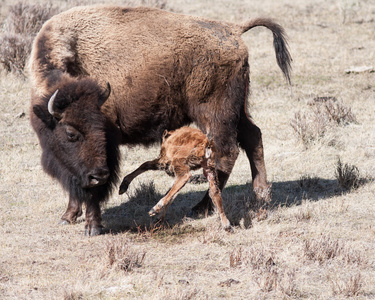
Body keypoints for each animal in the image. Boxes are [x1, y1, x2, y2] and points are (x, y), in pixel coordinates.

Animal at [30, 4, 294, 234]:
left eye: (101, 130)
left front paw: (92, 227)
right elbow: (75, 183)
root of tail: (233, 29)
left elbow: (94, 191)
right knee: (252, 137)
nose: (98, 175)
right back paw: (261, 196)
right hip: (238, 110)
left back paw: (201, 207)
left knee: (226, 152)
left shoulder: (107, 150)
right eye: (71, 133)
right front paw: (68, 216)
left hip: (215, 113)